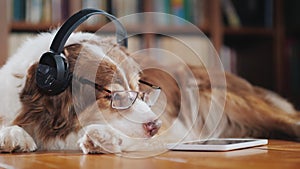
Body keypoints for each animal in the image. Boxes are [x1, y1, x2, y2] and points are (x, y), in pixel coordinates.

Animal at [0, 31, 298, 154]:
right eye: (114, 96)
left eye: (140, 90)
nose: (155, 125)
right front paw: (12, 134)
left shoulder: (176, 127)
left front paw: (103, 137)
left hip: (226, 100)